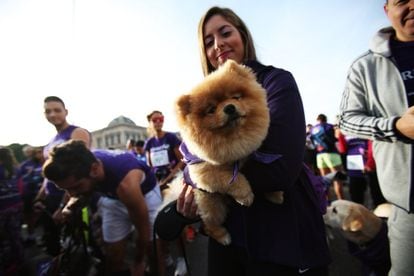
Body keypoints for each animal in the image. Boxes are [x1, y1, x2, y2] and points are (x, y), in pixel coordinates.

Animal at [168, 60, 282, 246]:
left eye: (236, 97)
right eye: (211, 110)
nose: (229, 107)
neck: (233, 140)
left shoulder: (252, 156)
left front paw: (275, 193)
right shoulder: (205, 173)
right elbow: (232, 179)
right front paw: (245, 195)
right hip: (211, 204)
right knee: (209, 225)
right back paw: (222, 236)